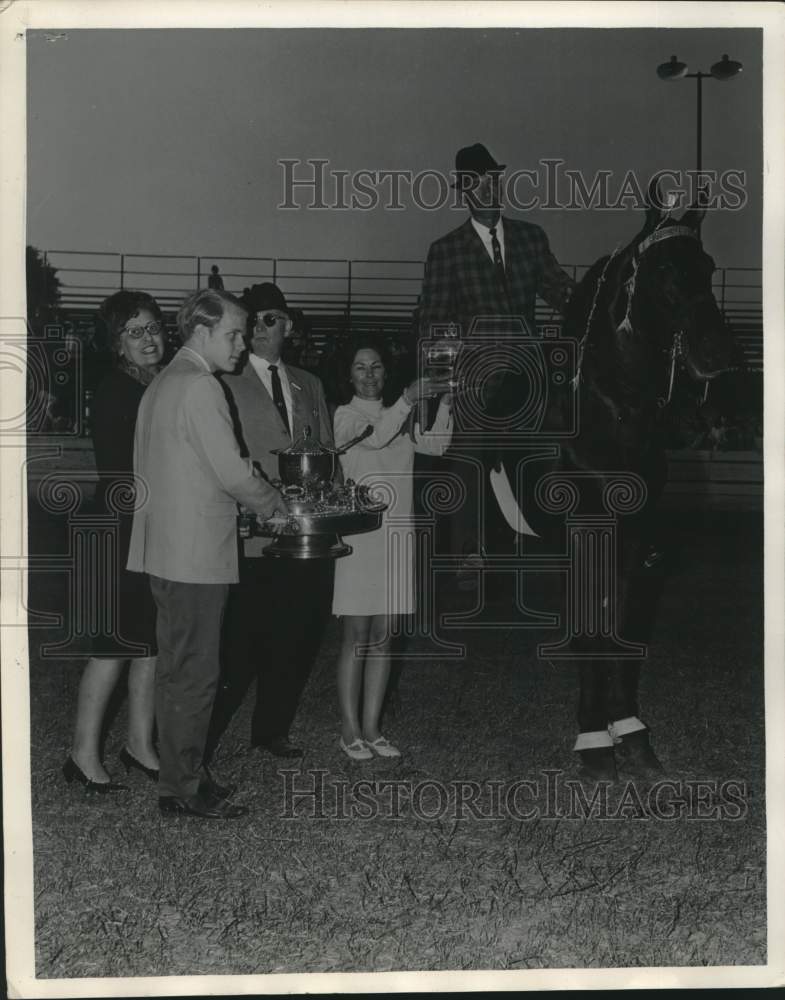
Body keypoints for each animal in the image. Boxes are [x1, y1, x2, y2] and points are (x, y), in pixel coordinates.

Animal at [494, 197, 740, 780]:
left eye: (708, 266)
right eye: (664, 270)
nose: (719, 352)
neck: (611, 416)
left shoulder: (640, 547)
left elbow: (623, 630)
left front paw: (630, 732)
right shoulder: (584, 541)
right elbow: (592, 636)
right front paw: (593, 741)